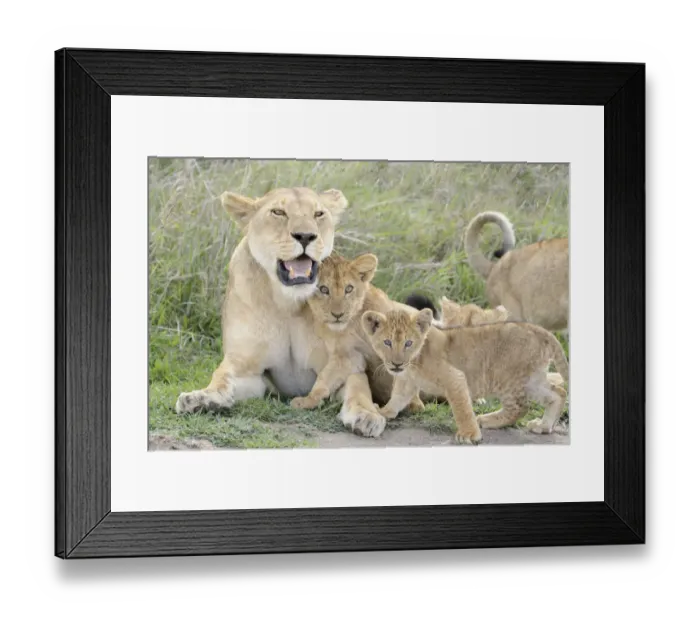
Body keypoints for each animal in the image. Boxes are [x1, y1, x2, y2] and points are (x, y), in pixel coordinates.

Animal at [175, 187, 355, 417]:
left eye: (318, 214)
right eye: (278, 212)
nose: (305, 236)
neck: (288, 302)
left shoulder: (348, 361)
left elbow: (358, 388)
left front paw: (366, 416)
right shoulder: (248, 369)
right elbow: (222, 377)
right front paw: (201, 399)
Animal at [361, 308, 569, 444]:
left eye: (408, 343)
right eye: (387, 342)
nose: (396, 364)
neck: (413, 362)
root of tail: (540, 330)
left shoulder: (454, 378)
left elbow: (462, 408)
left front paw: (469, 434)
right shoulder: (407, 380)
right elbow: (397, 398)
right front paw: (384, 411)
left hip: (507, 378)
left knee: (519, 408)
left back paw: (487, 420)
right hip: (531, 379)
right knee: (558, 392)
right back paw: (544, 426)